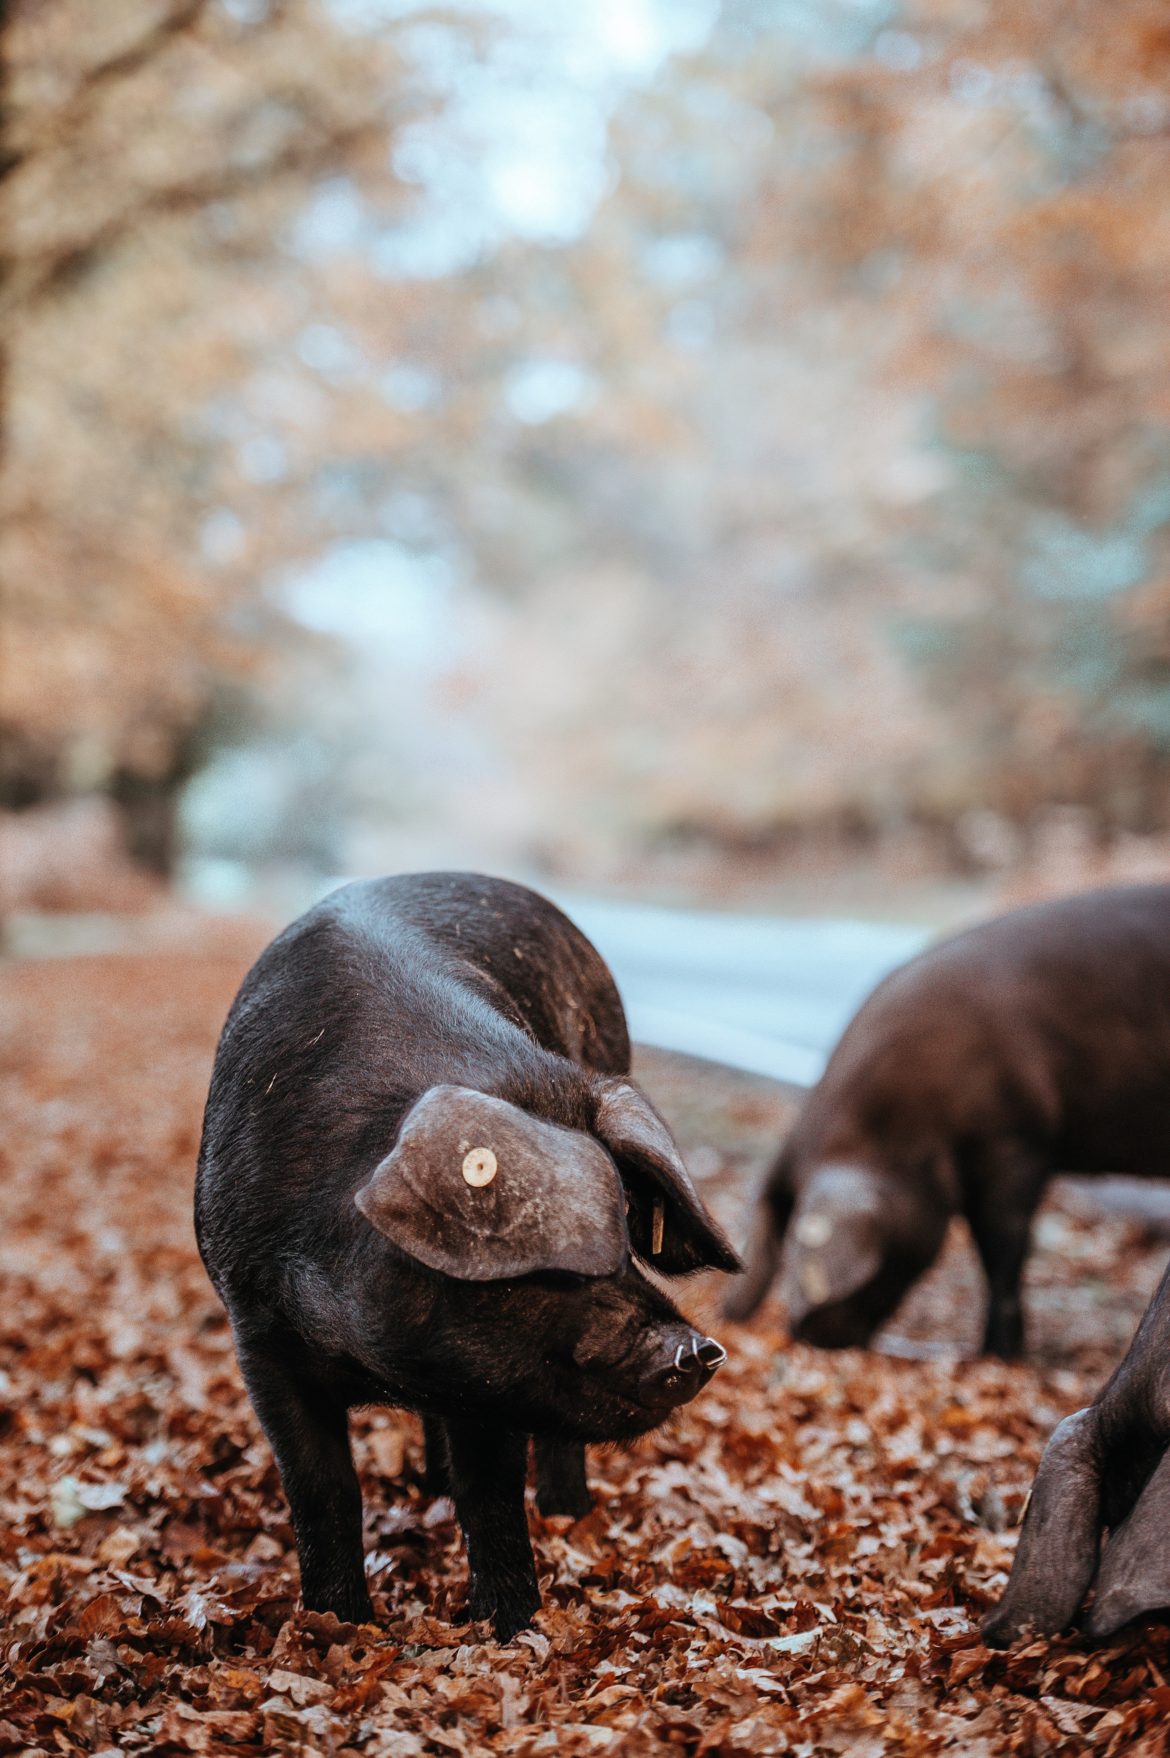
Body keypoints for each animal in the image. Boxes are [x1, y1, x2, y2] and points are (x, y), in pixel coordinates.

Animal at [195, 872, 738, 1641]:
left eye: (628, 1238)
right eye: (545, 1260)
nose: (697, 1350)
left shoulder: (493, 1383)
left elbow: (492, 1492)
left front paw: (512, 1628)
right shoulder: (257, 1333)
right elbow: (323, 1492)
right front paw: (338, 1625)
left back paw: (564, 1514)